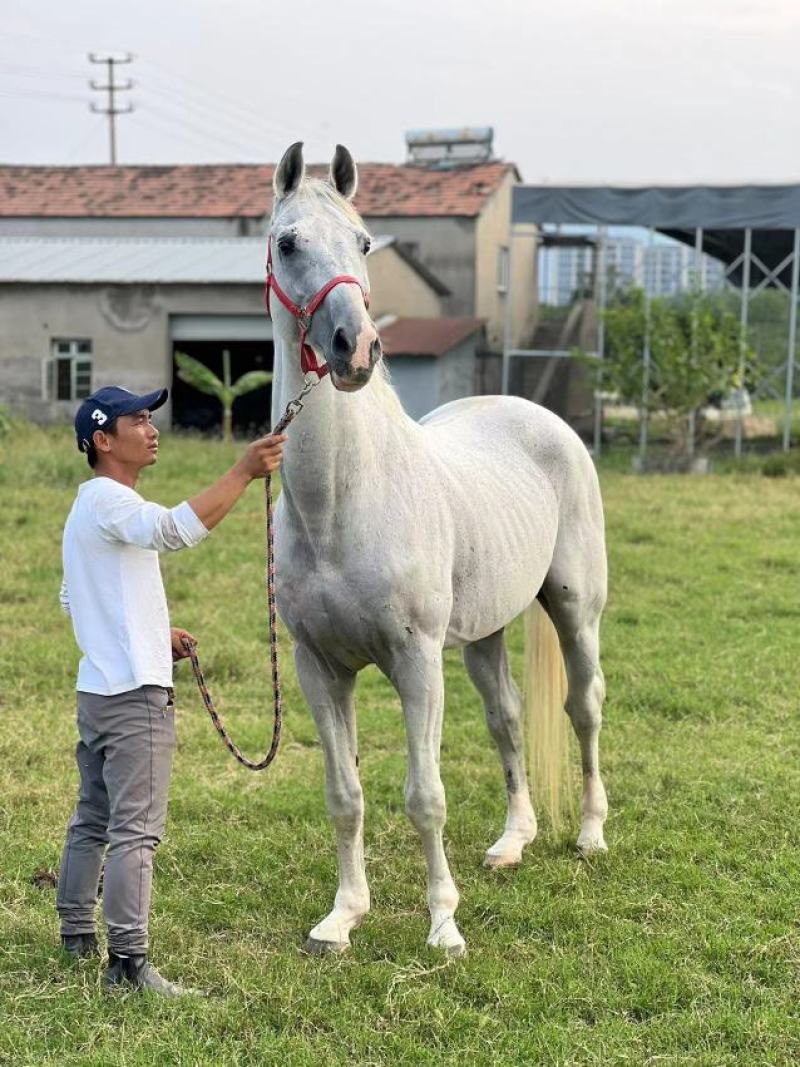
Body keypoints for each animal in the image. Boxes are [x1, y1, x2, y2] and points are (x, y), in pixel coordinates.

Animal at [269, 142, 608, 958]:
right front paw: (343, 916)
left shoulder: (416, 660)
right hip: (485, 633)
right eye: (287, 243)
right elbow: (345, 795)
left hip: (575, 610)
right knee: (508, 719)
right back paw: (514, 842)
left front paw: (444, 926)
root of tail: (532, 412)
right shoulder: (318, 668)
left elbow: (425, 795)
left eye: (364, 243)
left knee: (583, 706)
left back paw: (589, 833)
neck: (341, 506)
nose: (355, 349)